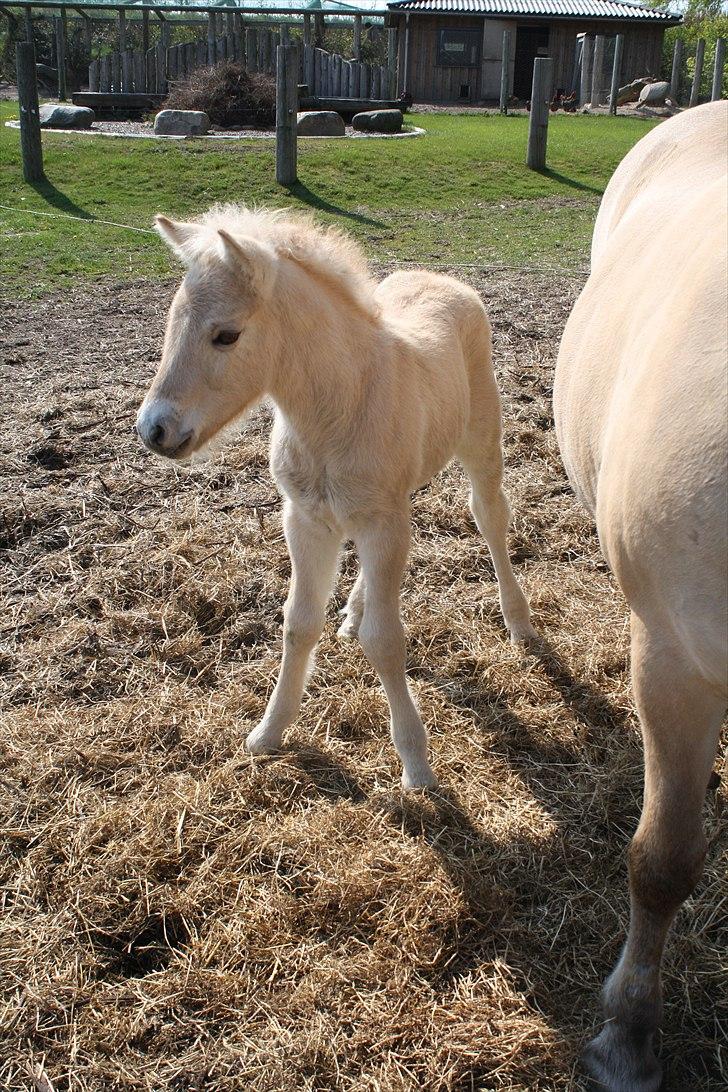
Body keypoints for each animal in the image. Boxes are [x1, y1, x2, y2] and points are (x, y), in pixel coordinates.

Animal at [136, 205, 534, 786]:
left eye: (226, 336)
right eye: (171, 322)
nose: (154, 430)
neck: (336, 407)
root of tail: (444, 279)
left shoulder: (382, 523)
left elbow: (386, 640)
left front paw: (416, 764)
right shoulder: (306, 520)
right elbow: (299, 624)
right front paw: (268, 733)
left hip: (481, 441)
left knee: (490, 518)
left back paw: (519, 622)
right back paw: (351, 611)